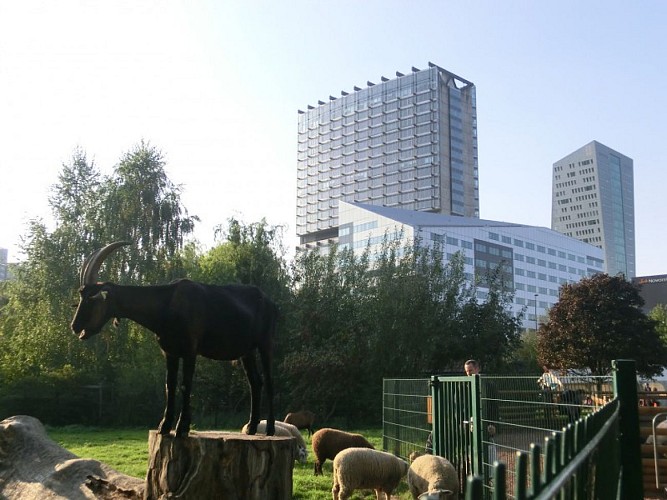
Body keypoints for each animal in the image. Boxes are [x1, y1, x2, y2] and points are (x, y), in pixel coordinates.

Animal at [72, 243, 280, 438]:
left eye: (91, 299)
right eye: (81, 297)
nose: (75, 326)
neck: (166, 305)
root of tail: (270, 302)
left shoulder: (190, 350)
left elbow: (185, 385)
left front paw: (182, 428)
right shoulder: (169, 352)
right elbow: (169, 386)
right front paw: (164, 427)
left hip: (265, 343)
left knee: (269, 382)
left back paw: (269, 429)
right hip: (247, 351)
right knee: (255, 382)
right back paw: (251, 427)